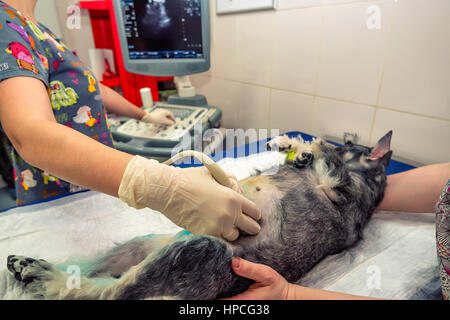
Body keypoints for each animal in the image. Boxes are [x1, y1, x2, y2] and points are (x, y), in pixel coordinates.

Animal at [6, 131, 394, 300]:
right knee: (95, 276)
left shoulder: (343, 192)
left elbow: (329, 164)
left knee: (107, 293)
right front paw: (289, 144)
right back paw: (28, 265)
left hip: (196, 251)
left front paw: (308, 146)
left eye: (349, 144)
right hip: (141, 247)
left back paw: (41, 274)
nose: (343, 143)